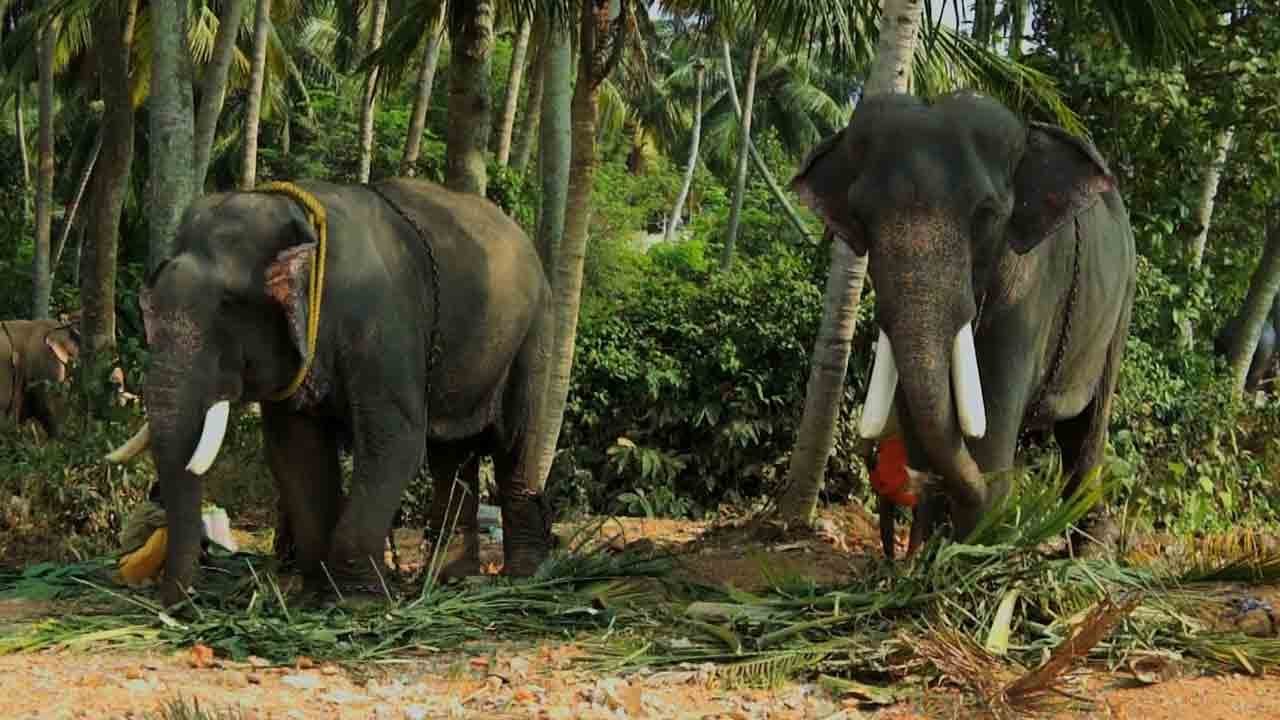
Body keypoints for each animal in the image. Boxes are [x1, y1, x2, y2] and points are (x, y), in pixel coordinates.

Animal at [106, 177, 553, 606]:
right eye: (149, 305)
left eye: (228, 305)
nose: (182, 606)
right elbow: (295, 451)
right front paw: (317, 596)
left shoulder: (383, 325)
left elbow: (394, 442)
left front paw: (355, 602)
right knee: (451, 454)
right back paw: (449, 577)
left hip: (534, 336)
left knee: (513, 443)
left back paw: (521, 577)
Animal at [791, 91, 1136, 554]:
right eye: (860, 216)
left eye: (987, 214)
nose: (895, 477)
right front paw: (928, 556)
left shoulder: (1030, 288)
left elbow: (989, 432)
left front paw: (972, 556)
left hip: (1120, 307)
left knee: (1086, 432)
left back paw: (1087, 552)